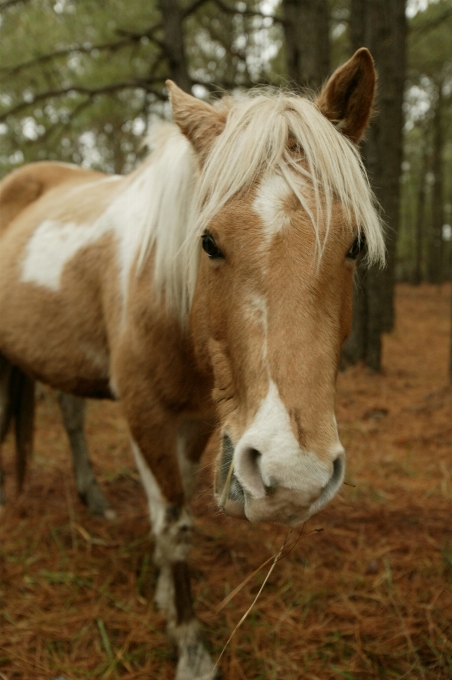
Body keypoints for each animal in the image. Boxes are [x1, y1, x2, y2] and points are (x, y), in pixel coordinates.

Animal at [0, 49, 384, 680]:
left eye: (353, 244)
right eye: (207, 241)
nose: (294, 476)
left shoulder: (200, 420)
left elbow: (169, 508)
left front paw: (162, 594)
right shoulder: (147, 415)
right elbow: (173, 523)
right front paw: (190, 643)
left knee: (71, 419)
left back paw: (93, 501)